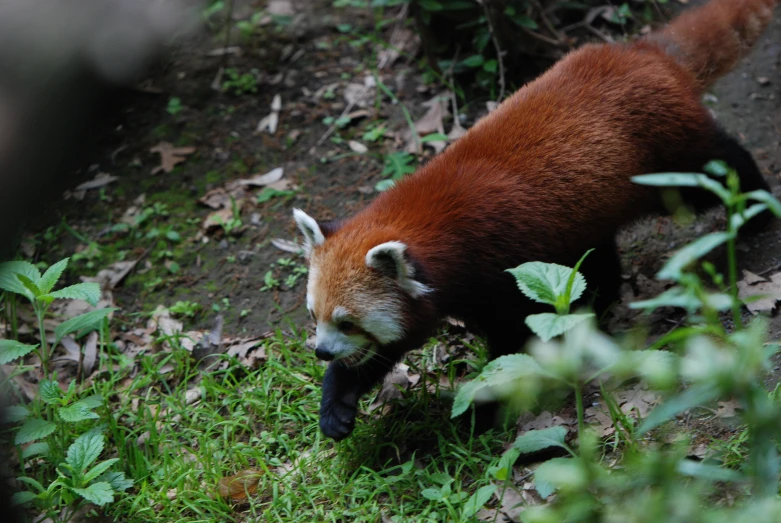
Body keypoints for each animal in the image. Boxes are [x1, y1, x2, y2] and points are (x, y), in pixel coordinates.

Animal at [290, 0, 772, 442]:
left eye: (348, 322)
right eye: (315, 316)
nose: (321, 352)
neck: (428, 223)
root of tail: (641, 52)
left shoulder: (498, 270)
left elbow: (511, 342)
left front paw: (479, 410)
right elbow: (386, 348)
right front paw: (337, 402)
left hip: (665, 162)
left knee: (715, 168)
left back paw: (755, 209)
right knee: (597, 255)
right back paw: (596, 303)